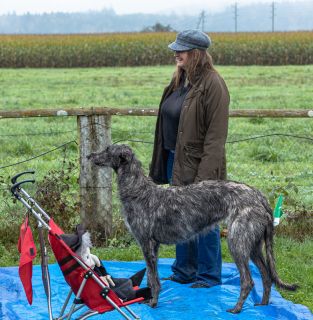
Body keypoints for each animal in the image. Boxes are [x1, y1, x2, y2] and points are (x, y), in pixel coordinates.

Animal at [87, 144, 294, 312]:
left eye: (108, 150)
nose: (89, 156)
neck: (138, 190)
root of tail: (259, 195)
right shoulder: (154, 246)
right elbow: (152, 277)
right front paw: (149, 300)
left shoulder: (146, 243)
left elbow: (154, 278)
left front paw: (153, 303)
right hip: (253, 245)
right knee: (266, 275)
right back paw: (263, 305)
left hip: (237, 243)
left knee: (248, 281)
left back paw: (237, 309)